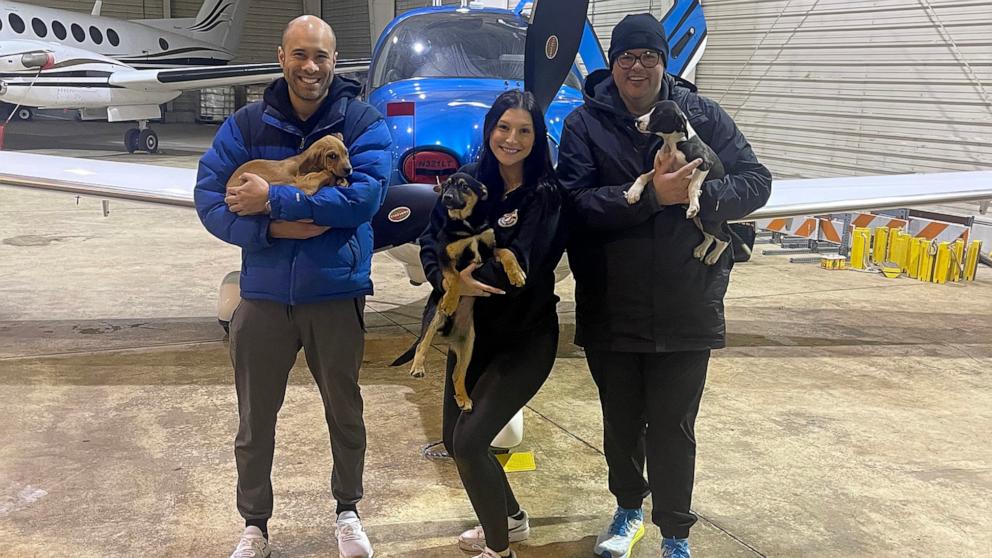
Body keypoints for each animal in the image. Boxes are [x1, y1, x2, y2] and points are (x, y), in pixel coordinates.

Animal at [404, 175, 528, 416]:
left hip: (469, 343)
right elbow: (454, 278)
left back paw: (464, 399)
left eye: (463, 186)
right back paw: (418, 367)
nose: (446, 197)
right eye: (446, 185)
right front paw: (452, 300)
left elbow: (507, 252)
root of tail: (448, 336)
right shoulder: (445, 255)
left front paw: (516, 274)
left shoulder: (490, 248)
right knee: (423, 342)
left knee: (456, 374)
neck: (468, 226)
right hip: (434, 316)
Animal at [624, 100, 732, 266]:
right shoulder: (662, 170)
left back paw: (712, 256)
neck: (674, 143)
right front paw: (633, 192)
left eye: (658, 114)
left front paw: (694, 204)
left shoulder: (704, 164)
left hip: (709, 221)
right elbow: (643, 176)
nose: (636, 121)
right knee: (710, 236)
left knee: (725, 238)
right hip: (700, 221)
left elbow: (692, 185)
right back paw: (701, 250)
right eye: (650, 110)